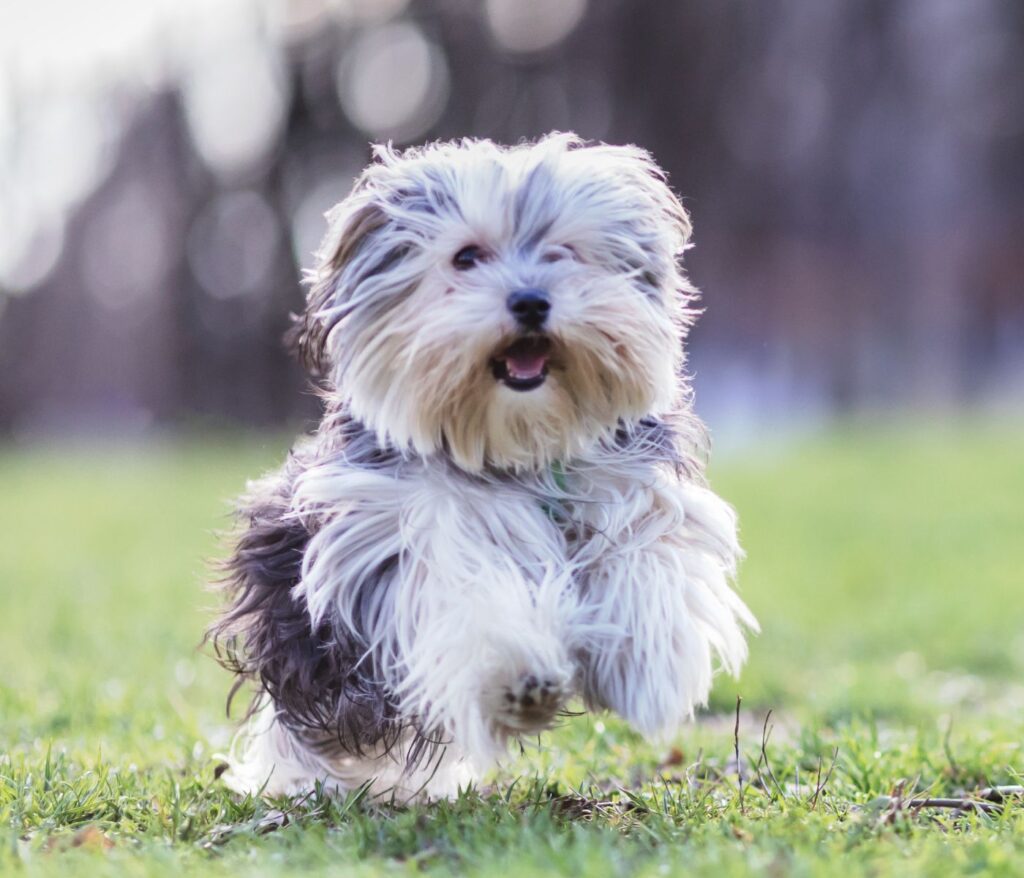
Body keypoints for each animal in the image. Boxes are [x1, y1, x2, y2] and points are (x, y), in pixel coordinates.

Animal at [209, 132, 753, 803]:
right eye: (467, 257)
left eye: (563, 252)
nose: (531, 301)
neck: (519, 448)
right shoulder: (405, 529)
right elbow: (468, 598)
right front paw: (517, 680)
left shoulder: (631, 489)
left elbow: (648, 555)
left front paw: (644, 663)